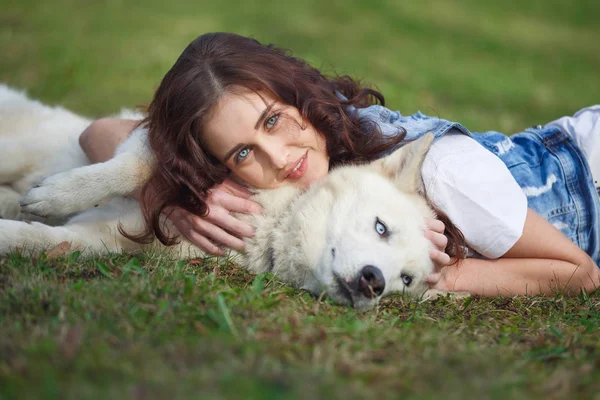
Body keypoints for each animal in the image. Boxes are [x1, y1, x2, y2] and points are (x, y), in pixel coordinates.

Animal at [0, 85, 440, 310]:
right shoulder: (156, 142)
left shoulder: (102, 239)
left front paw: (12, 233)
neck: (271, 220)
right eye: (381, 227)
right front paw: (56, 195)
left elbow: (42, 239)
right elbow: (133, 170)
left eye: (405, 280)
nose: (374, 282)